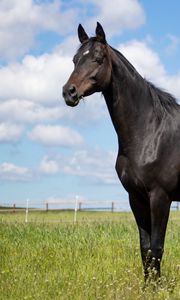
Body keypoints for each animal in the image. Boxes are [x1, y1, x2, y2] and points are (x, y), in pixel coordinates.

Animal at [62, 22, 180, 278]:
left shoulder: (160, 197)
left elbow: (157, 247)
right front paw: (148, 285)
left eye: (98, 58)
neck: (150, 131)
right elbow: (145, 249)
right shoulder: (135, 197)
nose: (69, 92)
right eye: (75, 59)